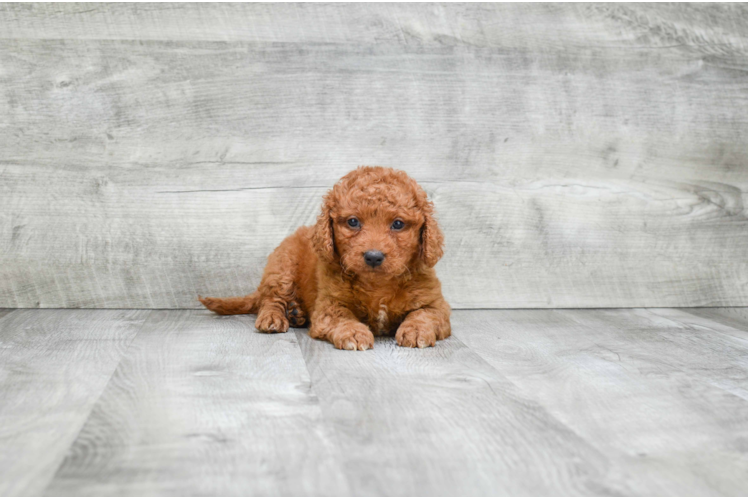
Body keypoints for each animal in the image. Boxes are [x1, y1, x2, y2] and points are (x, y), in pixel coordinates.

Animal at [199, 166, 450, 350]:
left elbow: (425, 314)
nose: (373, 257)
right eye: (353, 222)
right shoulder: (329, 304)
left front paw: (416, 330)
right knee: (270, 298)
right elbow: (341, 316)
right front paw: (353, 332)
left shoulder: (435, 303)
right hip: (282, 266)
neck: (377, 285)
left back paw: (296, 313)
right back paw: (274, 318)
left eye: (398, 224)